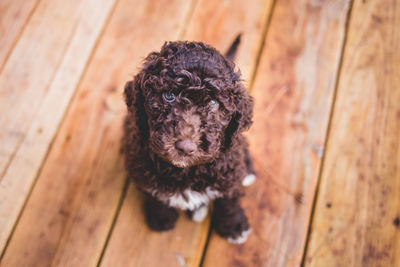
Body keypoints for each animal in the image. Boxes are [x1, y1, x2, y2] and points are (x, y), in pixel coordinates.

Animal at [122, 36, 256, 245]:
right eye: (168, 96)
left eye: (213, 104)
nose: (185, 147)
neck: (185, 172)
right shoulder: (142, 167)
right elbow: (156, 195)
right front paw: (161, 217)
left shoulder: (228, 173)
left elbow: (229, 200)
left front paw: (234, 226)